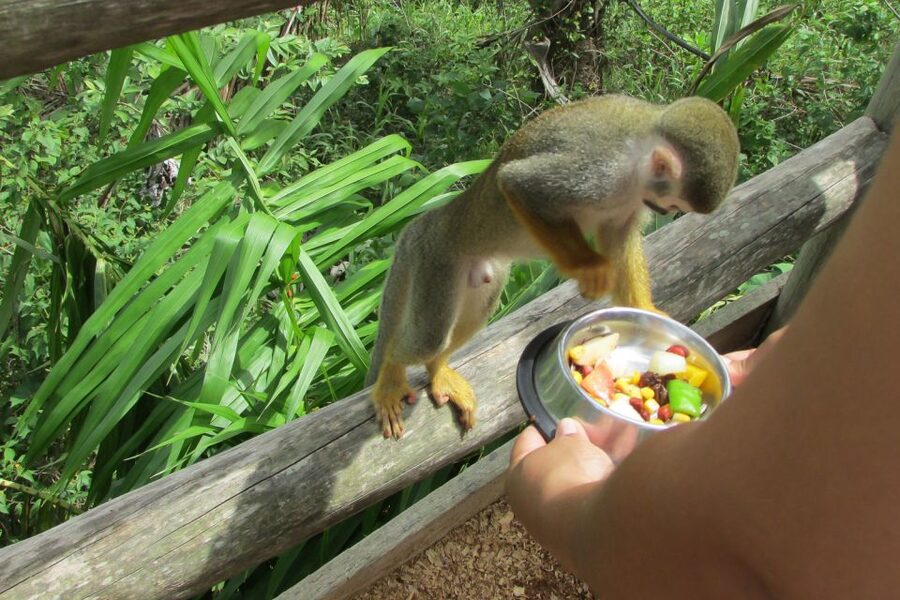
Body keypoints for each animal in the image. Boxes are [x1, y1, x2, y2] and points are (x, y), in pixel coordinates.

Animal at [366, 94, 740, 439]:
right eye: (673, 203)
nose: (664, 211)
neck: (639, 159)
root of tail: (431, 220)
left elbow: (618, 237)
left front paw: (644, 309)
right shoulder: (600, 170)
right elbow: (519, 184)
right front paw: (589, 267)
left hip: (481, 270)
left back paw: (437, 368)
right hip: (436, 261)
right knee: (428, 338)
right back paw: (392, 374)